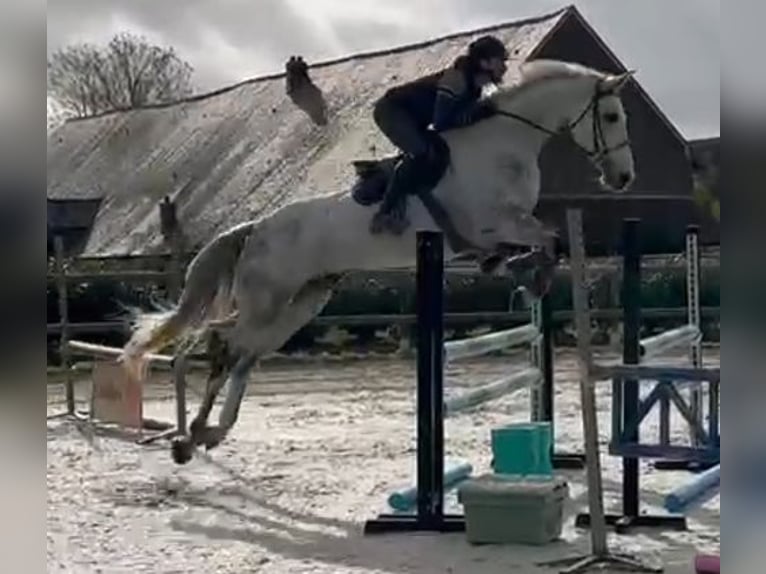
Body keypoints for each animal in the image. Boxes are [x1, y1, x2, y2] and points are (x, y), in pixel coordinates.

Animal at [120, 59, 637, 464]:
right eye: (611, 116)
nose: (624, 178)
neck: (506, 145)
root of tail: (256, 228)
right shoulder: (493, 223)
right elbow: (549, 239)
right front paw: (537, 276)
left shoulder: (498, 230)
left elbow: (538, 243)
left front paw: (521, 273)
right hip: (268, 299)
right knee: (225, 345)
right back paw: (190, 437)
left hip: (304, 300)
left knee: (244, 354)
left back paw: (208, 433)